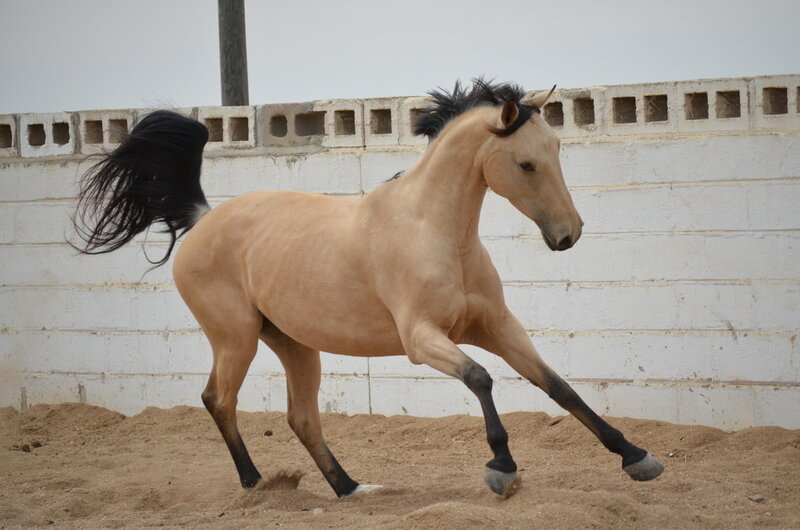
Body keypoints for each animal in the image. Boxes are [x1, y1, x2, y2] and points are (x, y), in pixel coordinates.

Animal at [73, 79, 664, 499]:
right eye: (526, 163)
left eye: (557, 150)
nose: (568, 235)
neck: (436, 232)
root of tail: (201, 219)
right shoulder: (422, 340)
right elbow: (481, 378)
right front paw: (502, 468)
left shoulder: (496, 327)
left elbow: (558, 387)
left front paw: (636, 457)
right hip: (234, 338)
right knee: (219, 399)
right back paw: (256, 484)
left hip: (294, 344)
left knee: (301, 418)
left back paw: (351, 488)